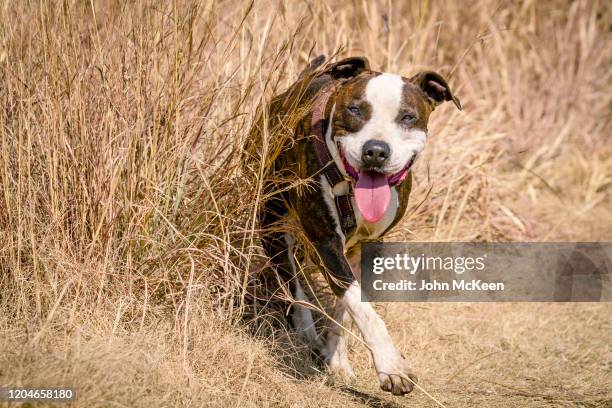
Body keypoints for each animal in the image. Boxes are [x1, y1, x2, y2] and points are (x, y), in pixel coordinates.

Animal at [252, 55, 460, 396]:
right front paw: (392, 366)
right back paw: (306, 333)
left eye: (407, 117)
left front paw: (338, 359)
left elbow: (351, 307)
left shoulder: (369, 248)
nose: (375, 150)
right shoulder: (326, 242)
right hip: (271, 224)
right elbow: (361, 308)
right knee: (292, 283)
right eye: (355, 110)